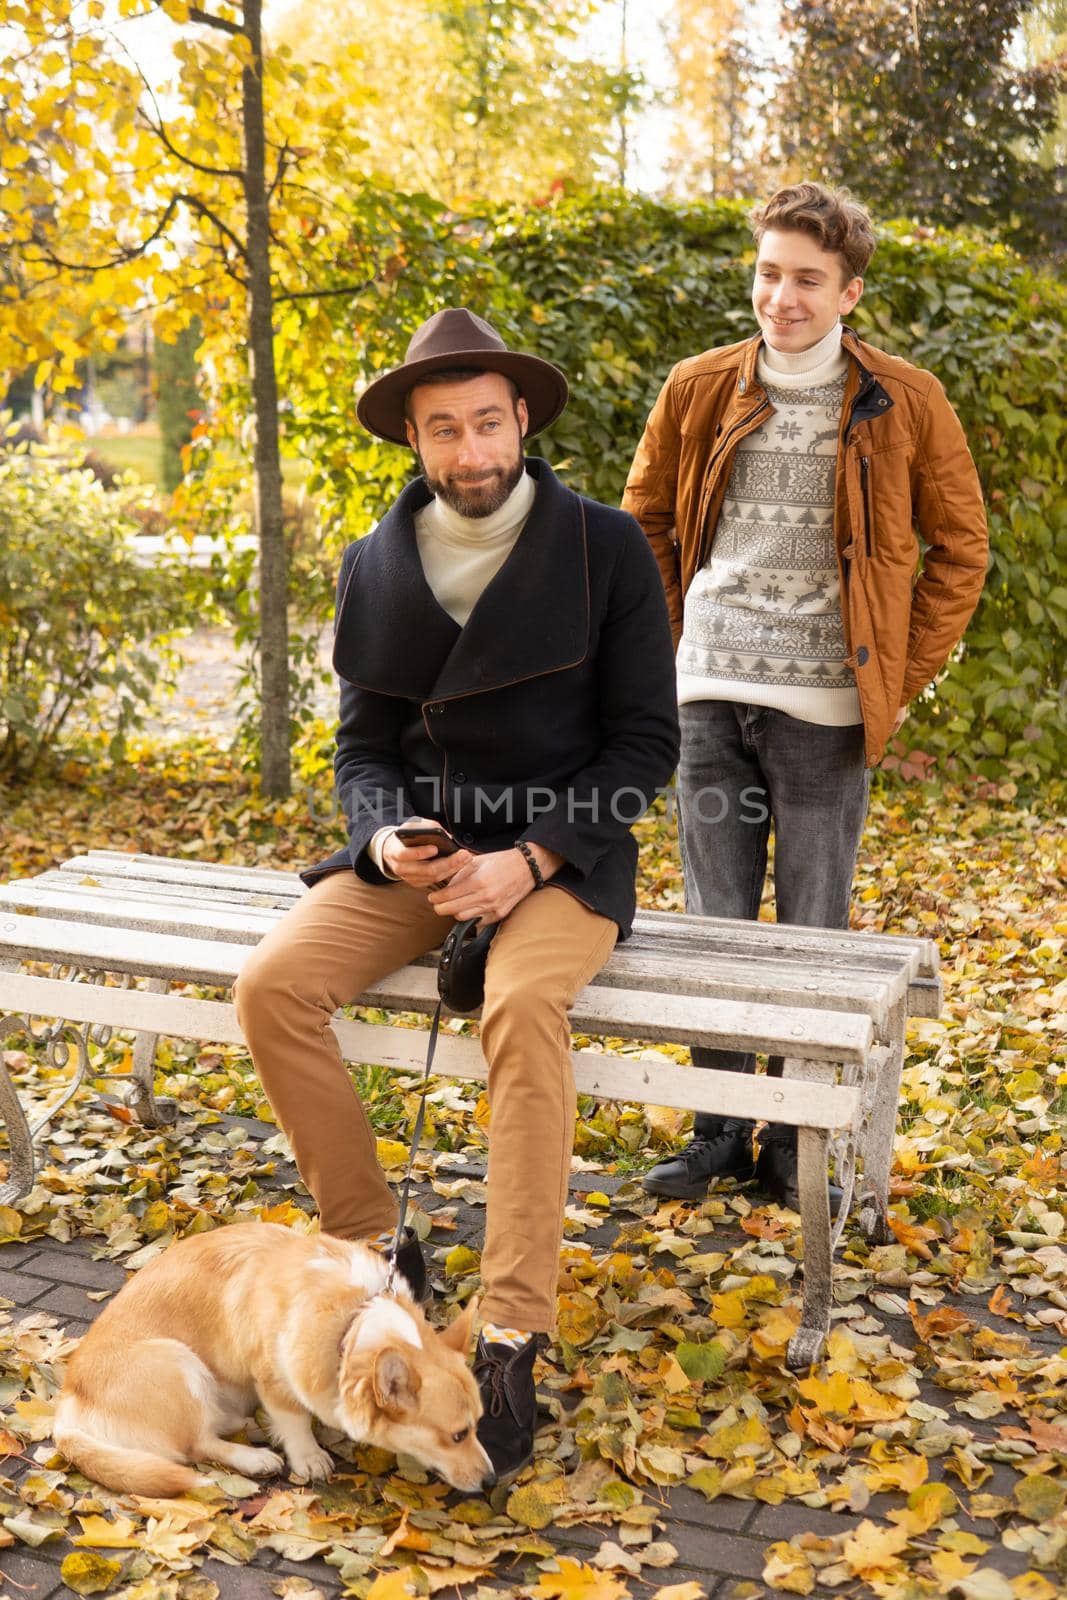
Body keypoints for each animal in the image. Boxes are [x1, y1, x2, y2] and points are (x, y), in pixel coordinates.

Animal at [51, 1222, 495, 1497]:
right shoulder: (273, 1377)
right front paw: (309, 1457)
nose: (493, 1480)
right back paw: (254, 1457)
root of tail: (69, 1407)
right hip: (179, 1362)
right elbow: (294, 1420)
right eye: (458, 1435)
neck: (352, 1321)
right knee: (196, 1445)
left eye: (478, 1426)